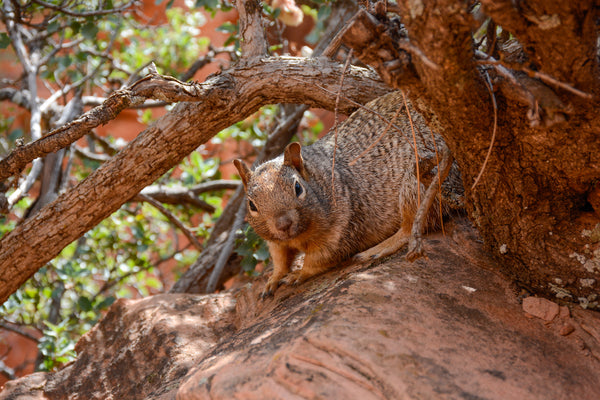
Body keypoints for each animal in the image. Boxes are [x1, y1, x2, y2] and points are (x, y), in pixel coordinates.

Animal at [232, 91, 462, 296]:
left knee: (412, 227)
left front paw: (297, 274)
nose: (283, 224)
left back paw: (375, 251)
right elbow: (280, 260)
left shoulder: (340, 232)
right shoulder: (275, 243)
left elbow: (318, 260)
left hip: (417, 182)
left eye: (298, 188)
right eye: (251, 205)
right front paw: (273, 280)